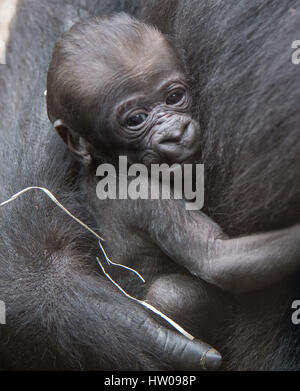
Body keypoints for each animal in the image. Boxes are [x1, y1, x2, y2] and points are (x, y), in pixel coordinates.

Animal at [0, 0, 298, 370]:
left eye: (174, 97)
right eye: (136, 119)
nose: (175, 133)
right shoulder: (147, 194)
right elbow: (215, 256)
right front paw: (51, 290)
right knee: (173, 297)